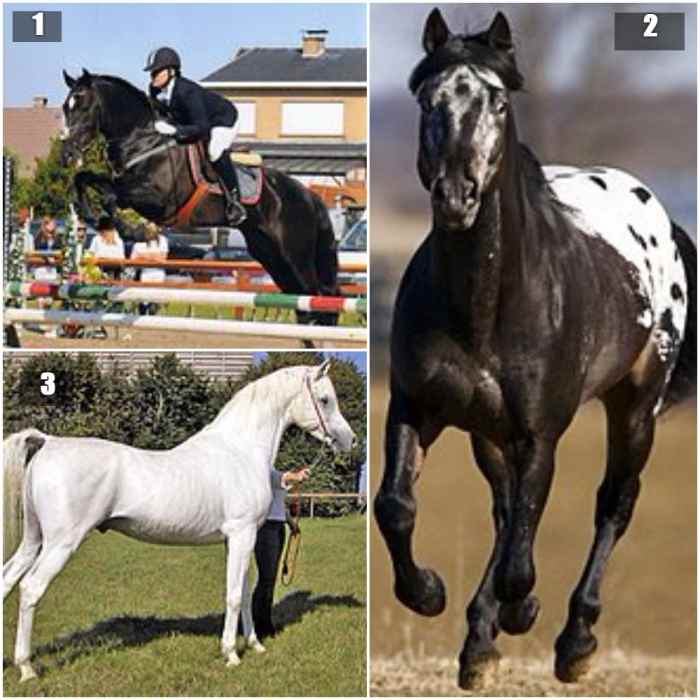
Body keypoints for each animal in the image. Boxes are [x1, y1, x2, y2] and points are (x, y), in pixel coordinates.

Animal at [3, 361, 356, 682]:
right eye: (325, 399)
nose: (350, 440)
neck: (240, 450)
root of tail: (48, 442)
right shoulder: (241, 534)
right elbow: (232, 596)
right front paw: (231, 654)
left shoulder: (238, 540)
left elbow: (242, 592)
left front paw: (255, 645)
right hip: (62, 543)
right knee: (31, 588)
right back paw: (27, 668)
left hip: (34, 540)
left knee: (8, 579)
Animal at [60, 69, 340, 327]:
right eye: (65, 107)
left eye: (83, 105)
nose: (67, 153)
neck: (142, 140)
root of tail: (309, 196)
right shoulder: (124, 186)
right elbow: (84, 179)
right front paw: (90, 215)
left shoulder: (155, 200)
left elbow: (110, 196)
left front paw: (133, 231)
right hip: (270, 255)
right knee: (304, 299)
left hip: (294, 254)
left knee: (318, 295)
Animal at [374, 8, 696, 689]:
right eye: (427, 99)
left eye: (497, 100)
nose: (457, 195)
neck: (485, 305)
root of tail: (655, 207)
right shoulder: (417, 409)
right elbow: (396, 507)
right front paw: (432, 594)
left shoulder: (538, 434)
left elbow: (524, 553)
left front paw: (521, 610)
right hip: (486, 433)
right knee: (505, 511)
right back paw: (479, 643)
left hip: (636, 405)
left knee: (612, 505)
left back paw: (573, 640)